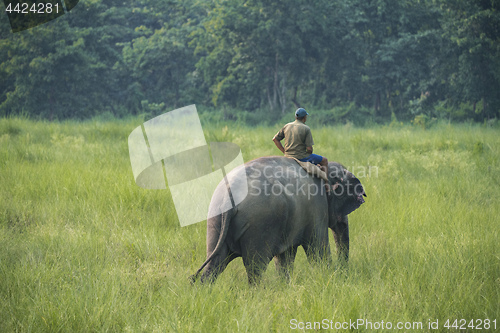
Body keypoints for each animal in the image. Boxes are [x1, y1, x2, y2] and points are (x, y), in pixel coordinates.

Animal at [189, 155, 366, 282]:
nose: (343, 272)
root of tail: (229, 195)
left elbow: (286, 256)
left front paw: (285, 285)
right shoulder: (317, 207)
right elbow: (317, 248)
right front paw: (327, 274)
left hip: (215, 219)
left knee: (215, 262)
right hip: (259, 224)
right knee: (255, 267)